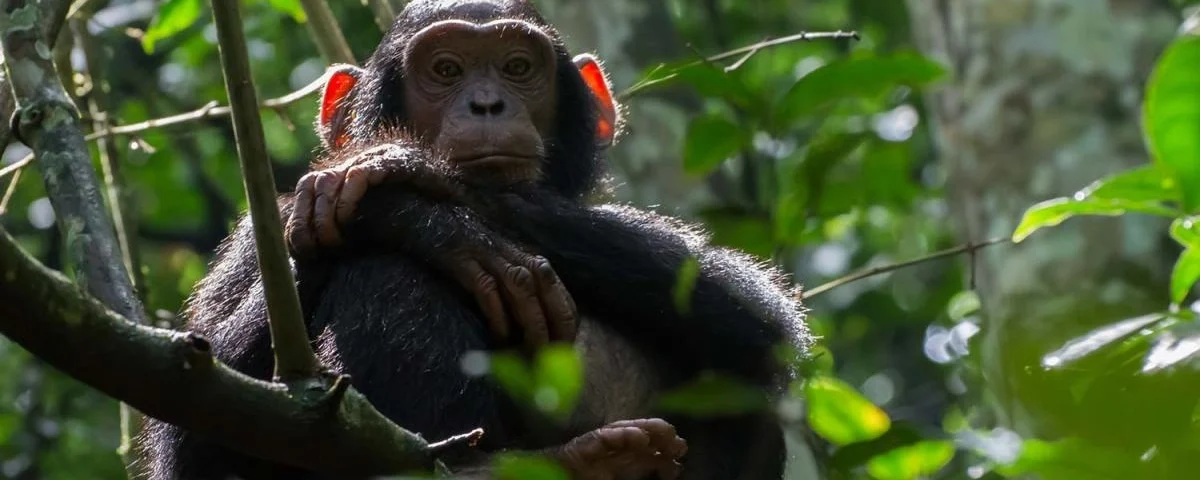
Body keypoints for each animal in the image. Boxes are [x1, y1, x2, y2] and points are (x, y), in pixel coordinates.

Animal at [138, 1, 812, 479]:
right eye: (445, 70)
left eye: (518, 67)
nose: (487, 103)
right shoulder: (254, 237)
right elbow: (196, 428)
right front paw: (430, 225)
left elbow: (759, 316)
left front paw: (403, 175)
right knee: (385, 272)